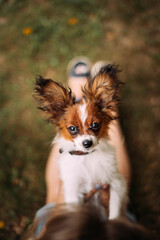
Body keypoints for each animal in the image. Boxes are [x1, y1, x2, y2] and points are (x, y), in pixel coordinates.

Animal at [34, 64, 127, 218]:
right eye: (72, 128)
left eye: (95, 125)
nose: (87, 143)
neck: (86, 158)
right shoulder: (73, 190)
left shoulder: (115, 183)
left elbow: (114, 212)